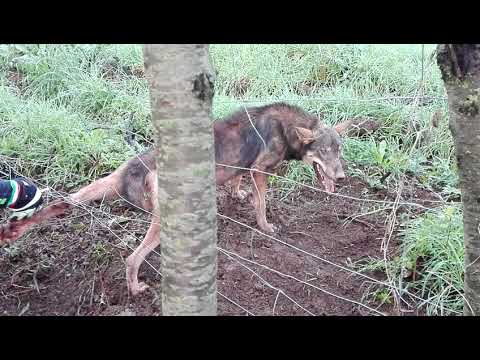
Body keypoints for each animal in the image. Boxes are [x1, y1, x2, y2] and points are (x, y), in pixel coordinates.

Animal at [0, 102, 352, 296]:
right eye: (325, 152)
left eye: (340, 151)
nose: (342, 179)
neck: (288, 128)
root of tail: (130, 169)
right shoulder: (260, 171)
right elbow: (261, 205)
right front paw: (266, 227)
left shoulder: (242, 166)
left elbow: (235, 183)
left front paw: (236, 194)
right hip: (161, 223)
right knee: (132, 259)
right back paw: (136, 288)